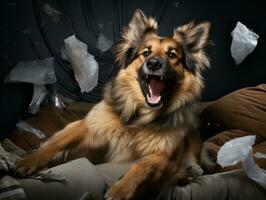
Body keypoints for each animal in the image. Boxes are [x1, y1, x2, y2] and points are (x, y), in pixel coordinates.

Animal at [15, 9, 212, 200]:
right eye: (146, 53)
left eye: (172, 55)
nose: (154, 64)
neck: (138, 118)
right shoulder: (88, 127)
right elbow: (57, 144)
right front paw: (29, 161)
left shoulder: (164, 156)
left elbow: (142, 166)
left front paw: (120, 189)